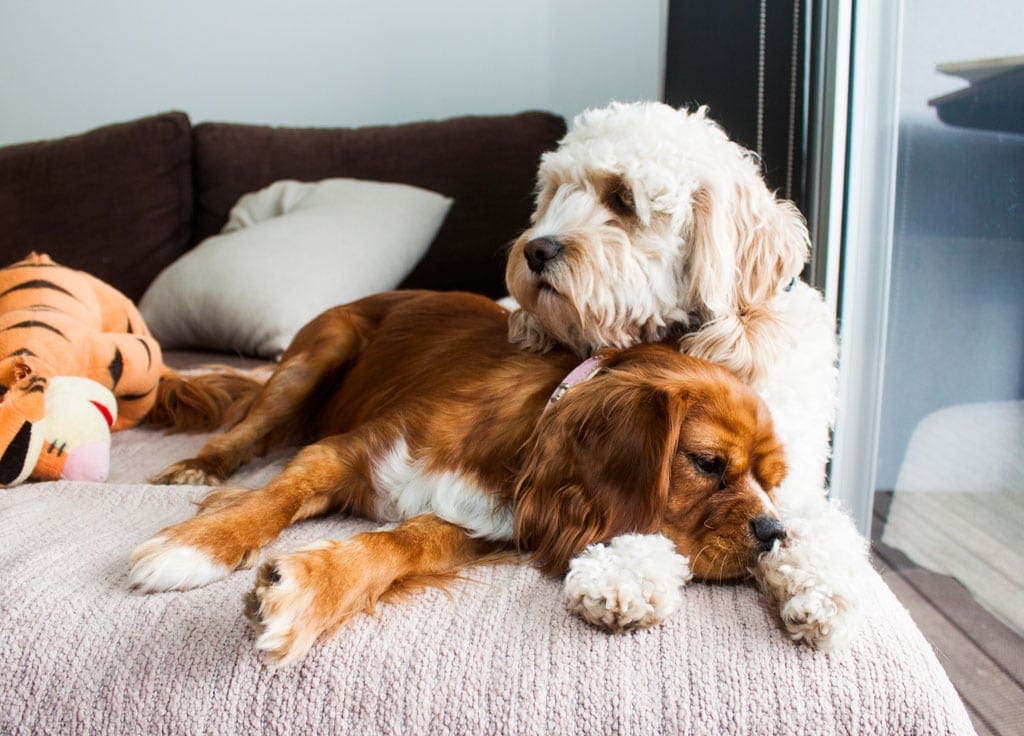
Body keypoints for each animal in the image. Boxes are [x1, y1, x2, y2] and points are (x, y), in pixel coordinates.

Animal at [507, 99, 868, 651]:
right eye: (554, 193)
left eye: (622, 198)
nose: (535, 250)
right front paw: (625, 573)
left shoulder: (799, 486)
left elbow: (819, 528)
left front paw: (822, 588)